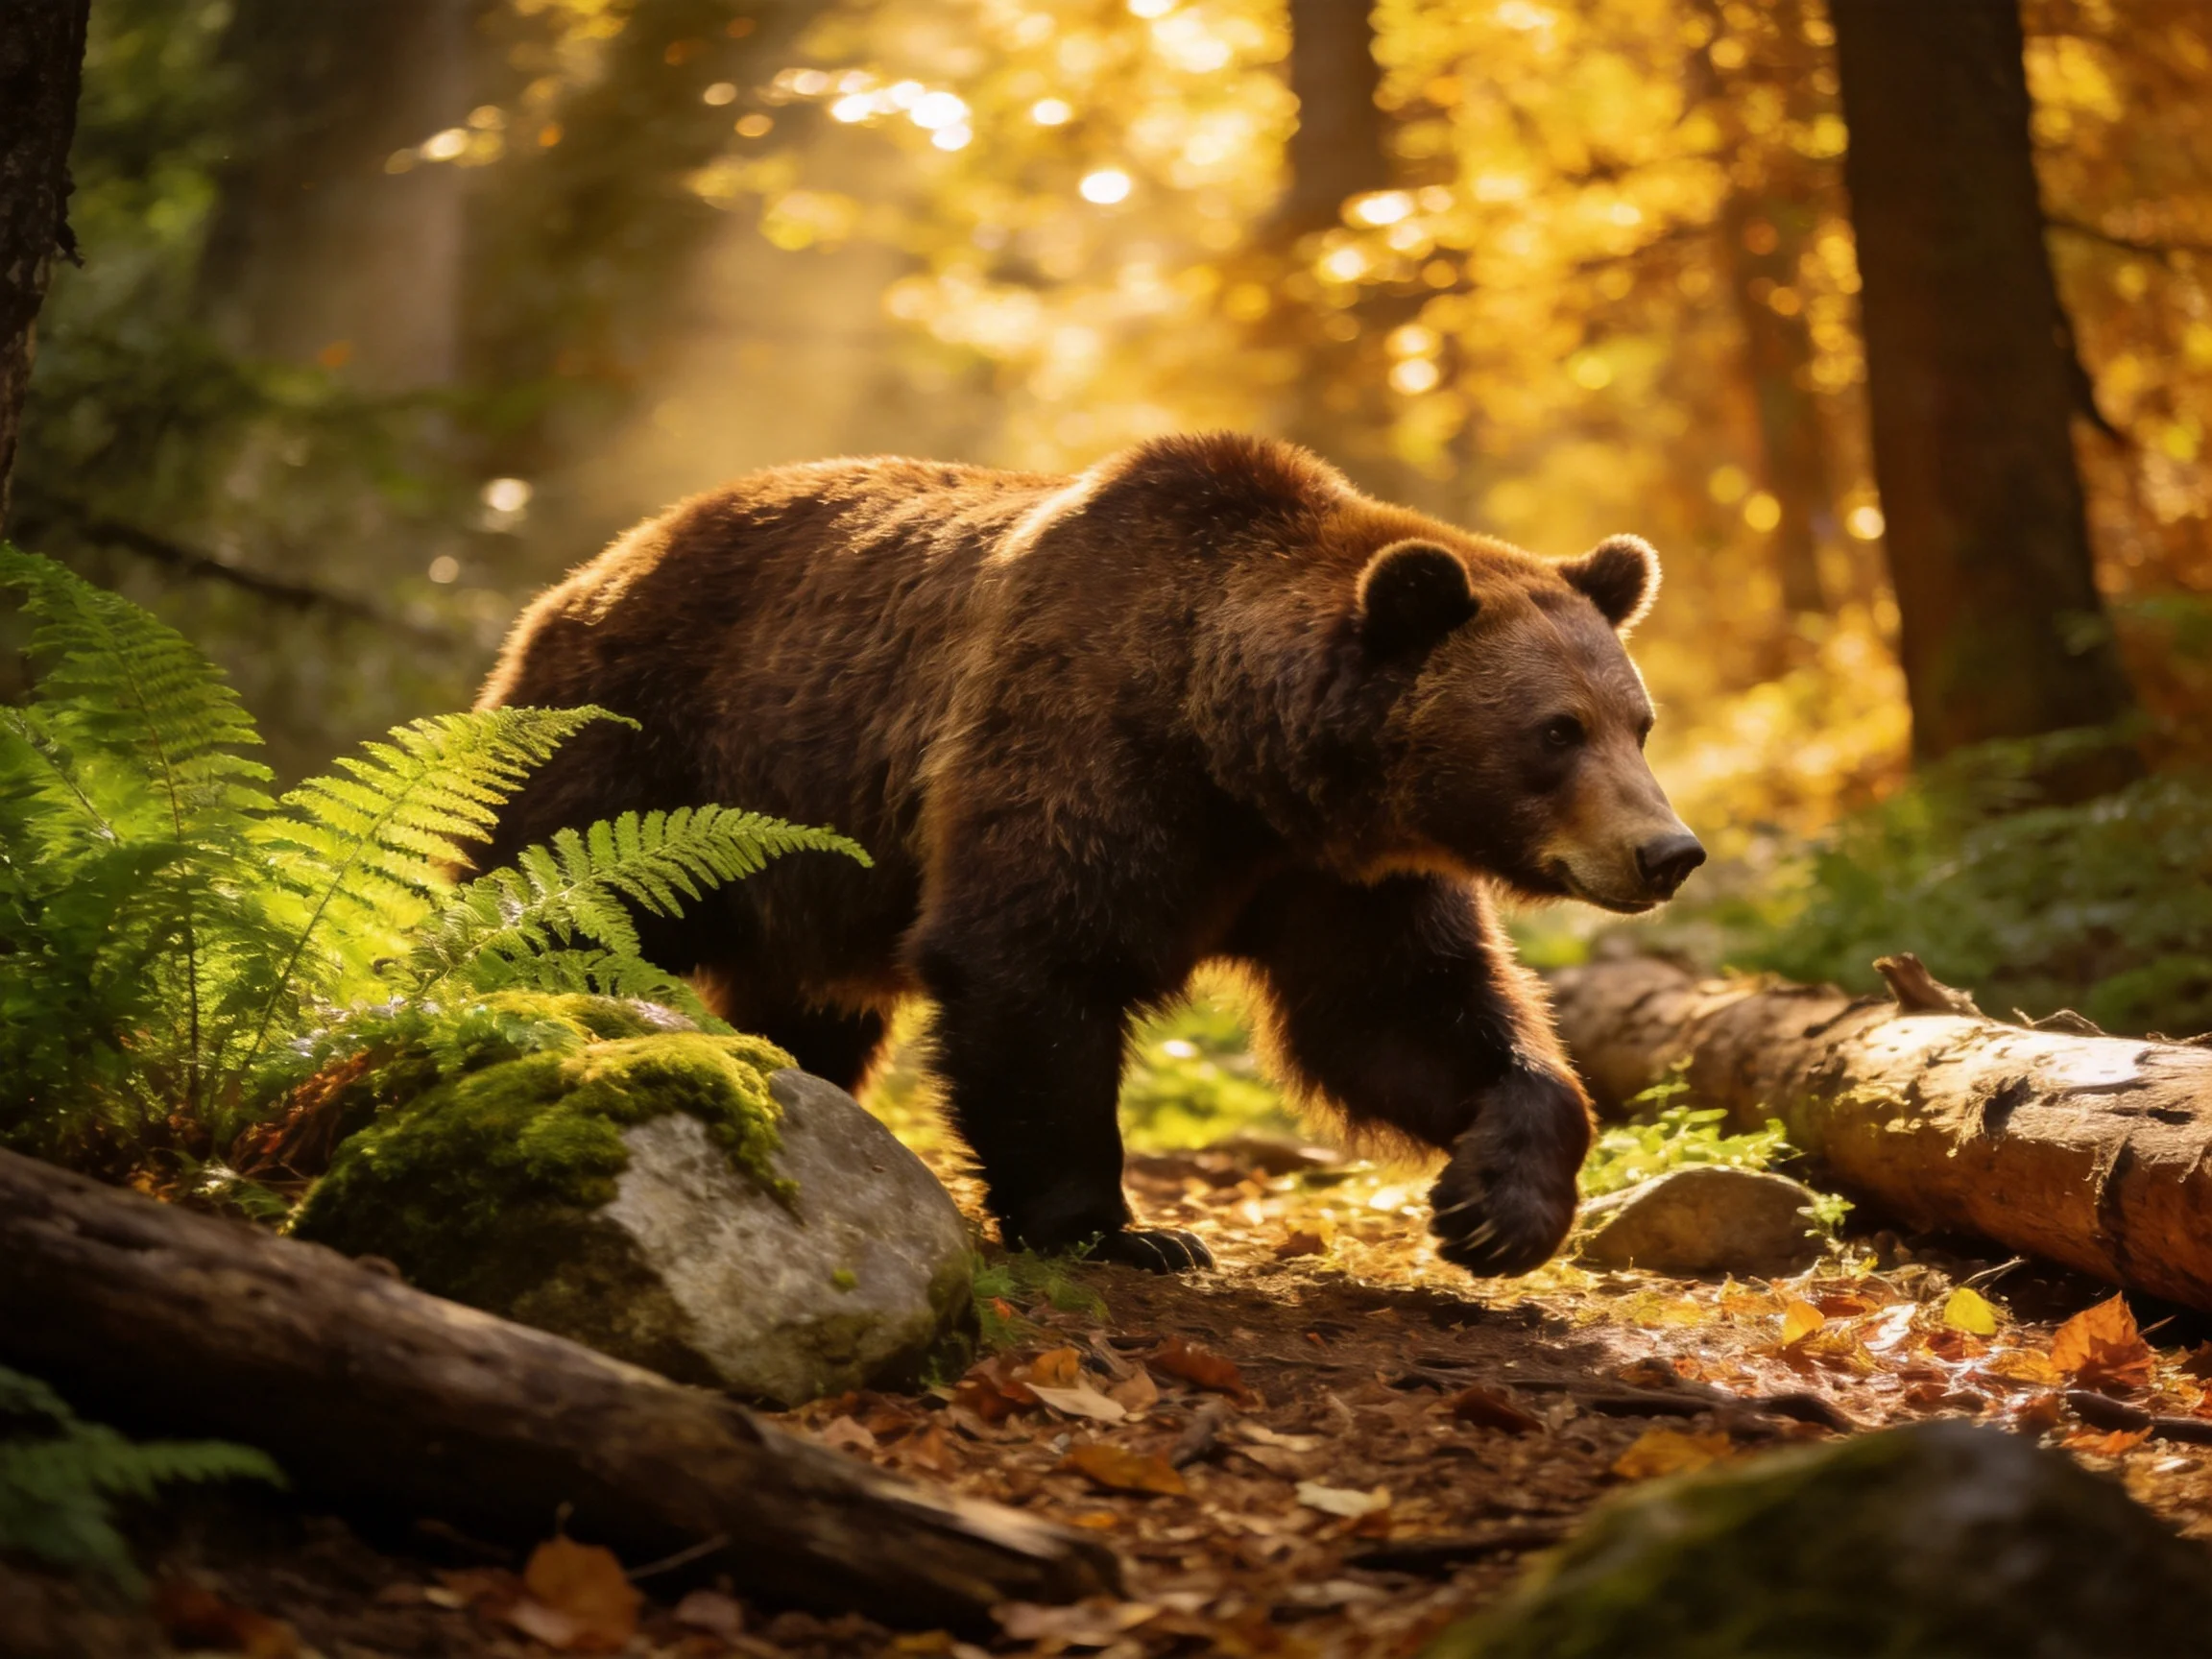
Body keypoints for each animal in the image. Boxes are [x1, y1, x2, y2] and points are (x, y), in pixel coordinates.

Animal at [475, 432, 1704, 1275]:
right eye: (1556, 731)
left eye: (1637, 721)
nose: (1668, 851)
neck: (1244, 761)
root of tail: (596, 567)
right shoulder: (1086, 752)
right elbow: (1033, 967)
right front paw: (1124, 1232)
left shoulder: (1337, 877)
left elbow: (1403, 1015)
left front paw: (1496, 1209)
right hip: (649, 751)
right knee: (549, 903)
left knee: (809, 1005)